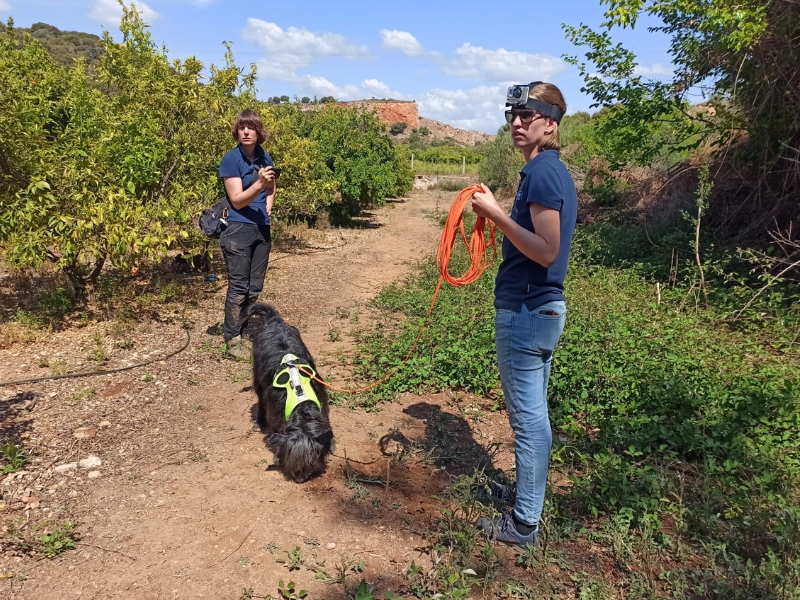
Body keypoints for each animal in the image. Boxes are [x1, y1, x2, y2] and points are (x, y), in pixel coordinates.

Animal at [241, 304, 334, 482]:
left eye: (311, 463)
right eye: (291, 462)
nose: (300, 479)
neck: (301, 403)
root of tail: (275, 322)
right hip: (258, 377)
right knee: (260, 400)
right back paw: (259, 421)